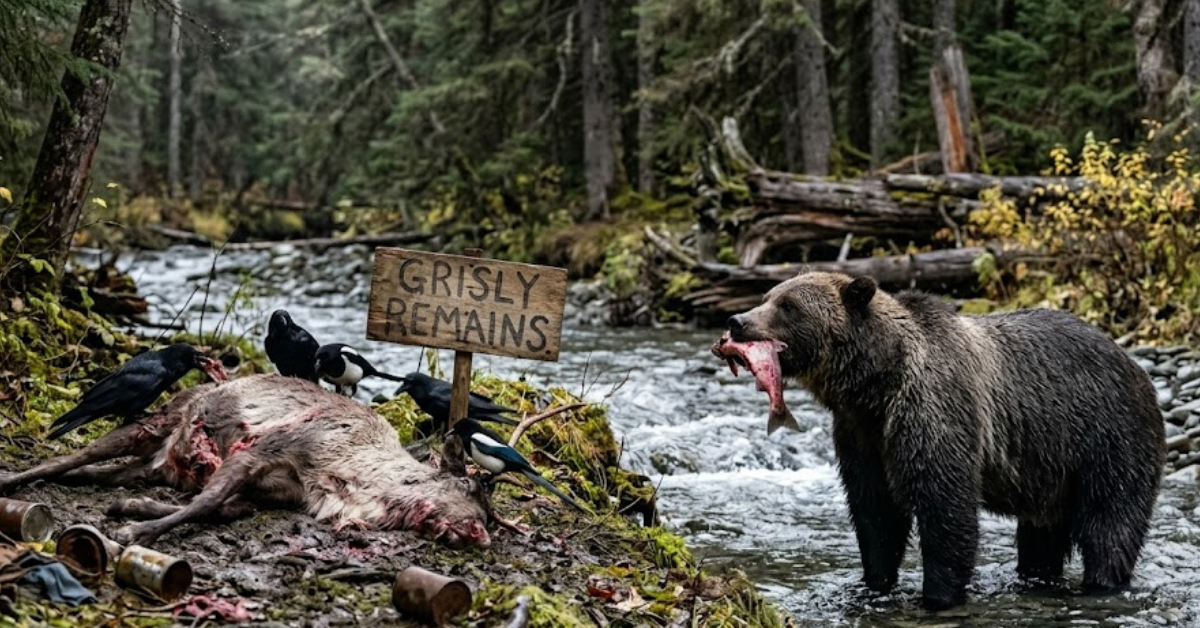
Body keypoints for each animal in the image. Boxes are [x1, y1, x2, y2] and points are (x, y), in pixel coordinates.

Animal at [725, 271, 1166, 611]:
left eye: (788, 305)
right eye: (767, 297)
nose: (737, 320)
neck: (875, 383)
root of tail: (1135, 366)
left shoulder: (934, 411)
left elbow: (944, 507)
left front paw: (937, 595)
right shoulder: (861, 436)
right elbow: (875, 513)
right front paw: (874, 583)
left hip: (1107, 438)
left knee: (1111, 521)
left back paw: (1102, 583)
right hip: (1050, 468)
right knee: (1041, 536)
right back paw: (1037, 577)